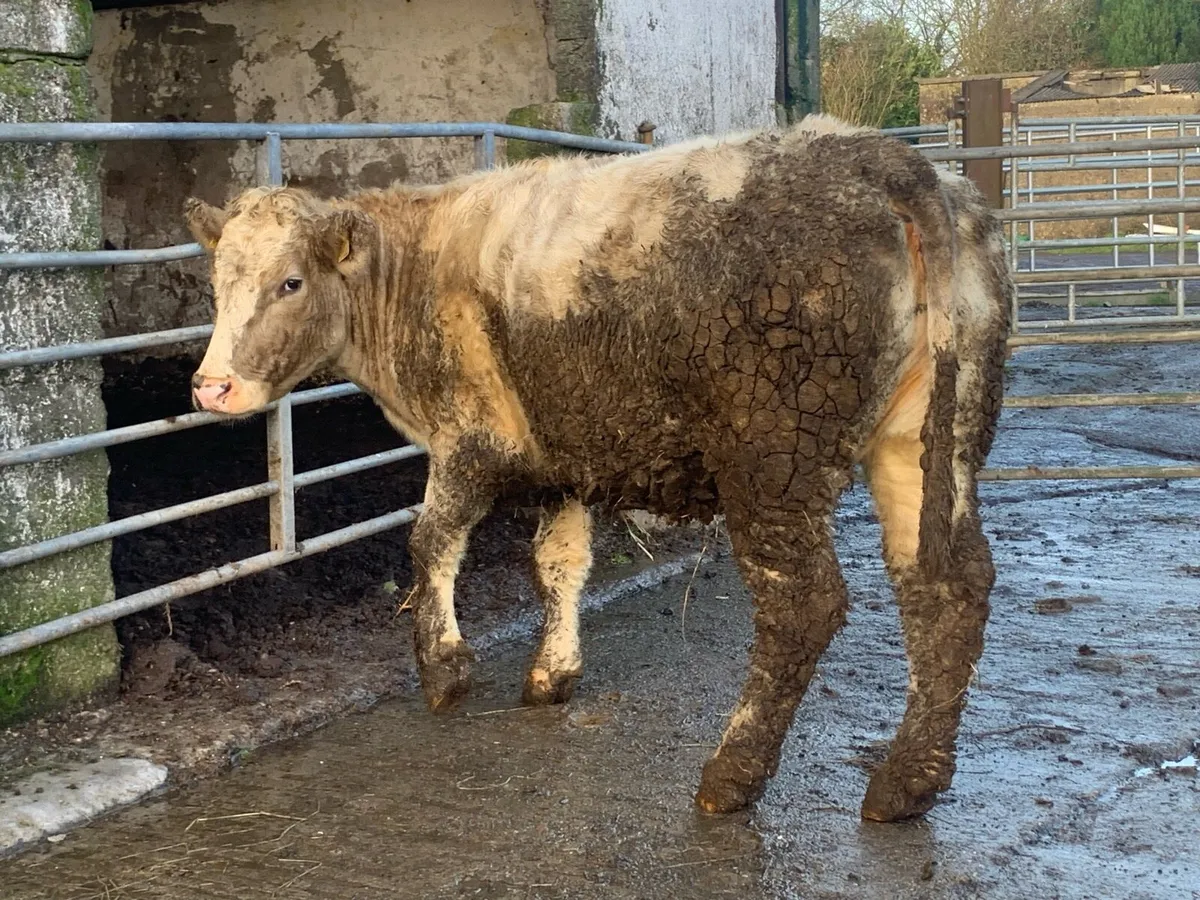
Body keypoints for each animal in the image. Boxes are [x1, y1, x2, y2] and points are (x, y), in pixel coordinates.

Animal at [183, 114, 1012, 822]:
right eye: (218, 283)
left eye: (291, 282)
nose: (210, 386)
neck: (414, 268)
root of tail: (879, 156)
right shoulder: (563, 456)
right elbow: (558, 563)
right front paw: (552, 673)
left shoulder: (467, 439)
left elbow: (431, 544)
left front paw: (445, 670)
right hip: (928, 439)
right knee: (948, 585)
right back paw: (908, 782)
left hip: (773, 455)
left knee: (802, 604)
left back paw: (731, 774)